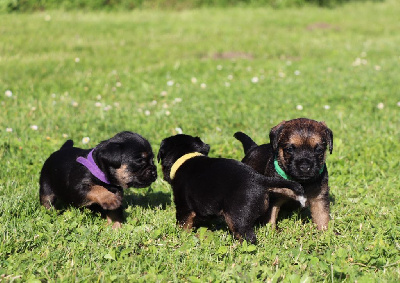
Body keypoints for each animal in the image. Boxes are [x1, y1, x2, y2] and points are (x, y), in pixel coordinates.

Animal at [157, 135, 306, 244]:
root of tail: (260, 179)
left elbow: (183, 224)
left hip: (238, 218)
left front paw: (181, 236)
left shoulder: (183, 207)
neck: (185, 157)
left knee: (249, 239)